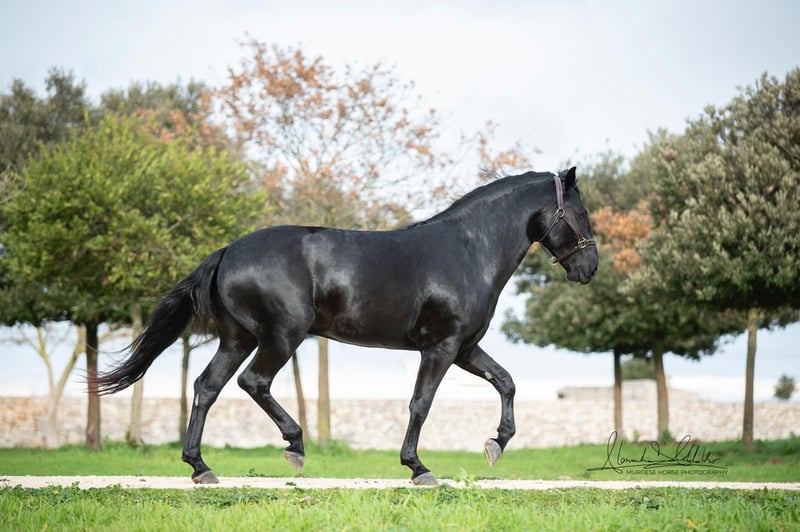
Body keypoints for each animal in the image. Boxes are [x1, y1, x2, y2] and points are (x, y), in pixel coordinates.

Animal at [94, 167, 598, 486]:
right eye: (581, 213)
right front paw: (418, 468)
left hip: (237, 339)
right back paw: (294, 446)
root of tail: (227, 252)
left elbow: (506, 382)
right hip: (281, 337)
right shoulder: (441, 347)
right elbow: (421, 404)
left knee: (206, 388)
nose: (589, 268)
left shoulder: (465, 348)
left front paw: (497, 444)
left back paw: (201, 467)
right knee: (253, 382)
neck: (469, 250)